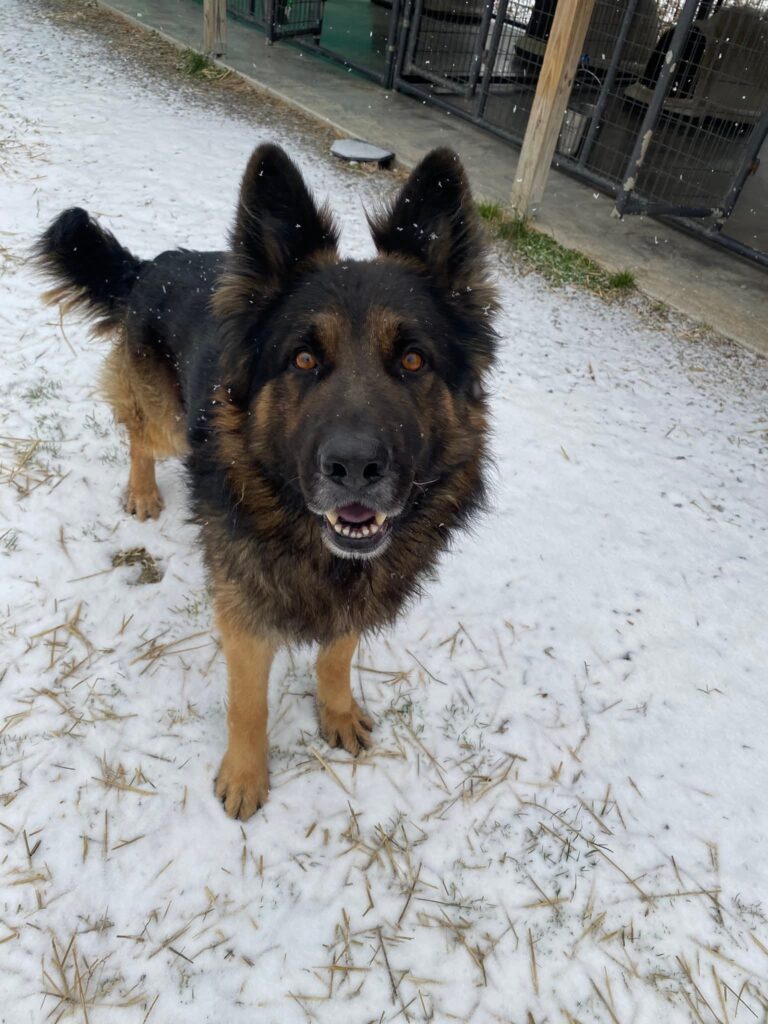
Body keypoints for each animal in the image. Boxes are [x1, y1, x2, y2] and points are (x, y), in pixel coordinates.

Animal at [35, 143, 497, 820]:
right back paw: (143, 491)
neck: (307, 537)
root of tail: (159, 263)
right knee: (141, 436)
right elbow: (248, 704)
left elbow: (337, 656)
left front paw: (336, 713)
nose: (354, 468)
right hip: (169, 422)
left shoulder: (354, 594)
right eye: (303, 359)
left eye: (413, 360)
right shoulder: (245, 616)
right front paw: (245, 777)